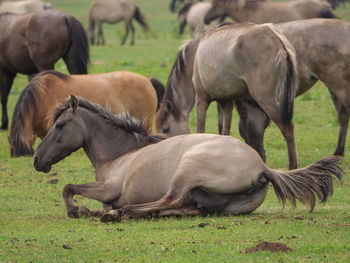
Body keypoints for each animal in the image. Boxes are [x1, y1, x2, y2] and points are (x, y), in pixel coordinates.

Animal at [32, 96, 342, 222]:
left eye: (59, 125)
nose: (36, 159)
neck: (120, 155)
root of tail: (263, 169)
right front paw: (88, 210)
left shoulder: (108, 189)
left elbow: (68, 188)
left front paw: (78, 210)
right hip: (208, 200)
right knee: (189, 209)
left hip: (186, 171)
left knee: (168, 200)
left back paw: (122, 214)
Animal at [157, 23, 300, 171]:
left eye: (166, 129)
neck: (194, 56)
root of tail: (277, 40)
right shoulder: (226, 102)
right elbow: (224, 131)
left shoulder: (201, 100)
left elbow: (200, 130)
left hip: (267, 100)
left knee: (287, 128)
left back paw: (293, 167)